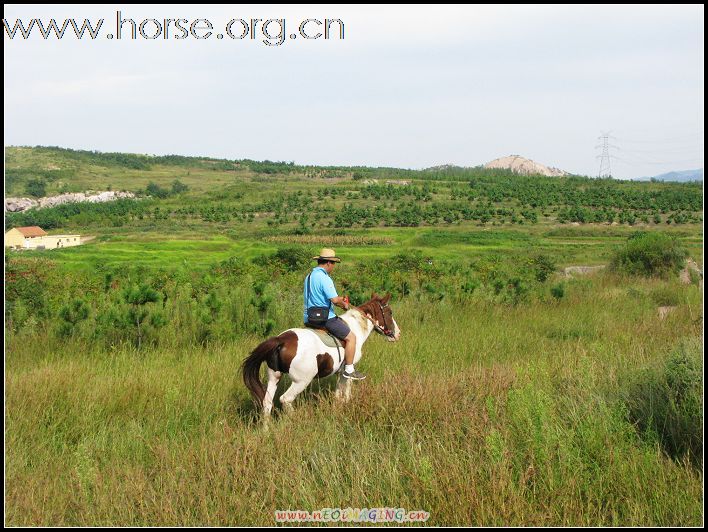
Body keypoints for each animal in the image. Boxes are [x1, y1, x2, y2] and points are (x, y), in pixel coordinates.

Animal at [242, 290, 398, 420]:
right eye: (390, 312)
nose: (397, 334)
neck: (355, 327)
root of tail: (281, 340)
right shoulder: (348, 369)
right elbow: (347, 390)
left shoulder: (340, 372)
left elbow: (338, 394)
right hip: (301, 381)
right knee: (285, 399)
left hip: (274, 376)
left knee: (267, 402)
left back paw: (266, 430)